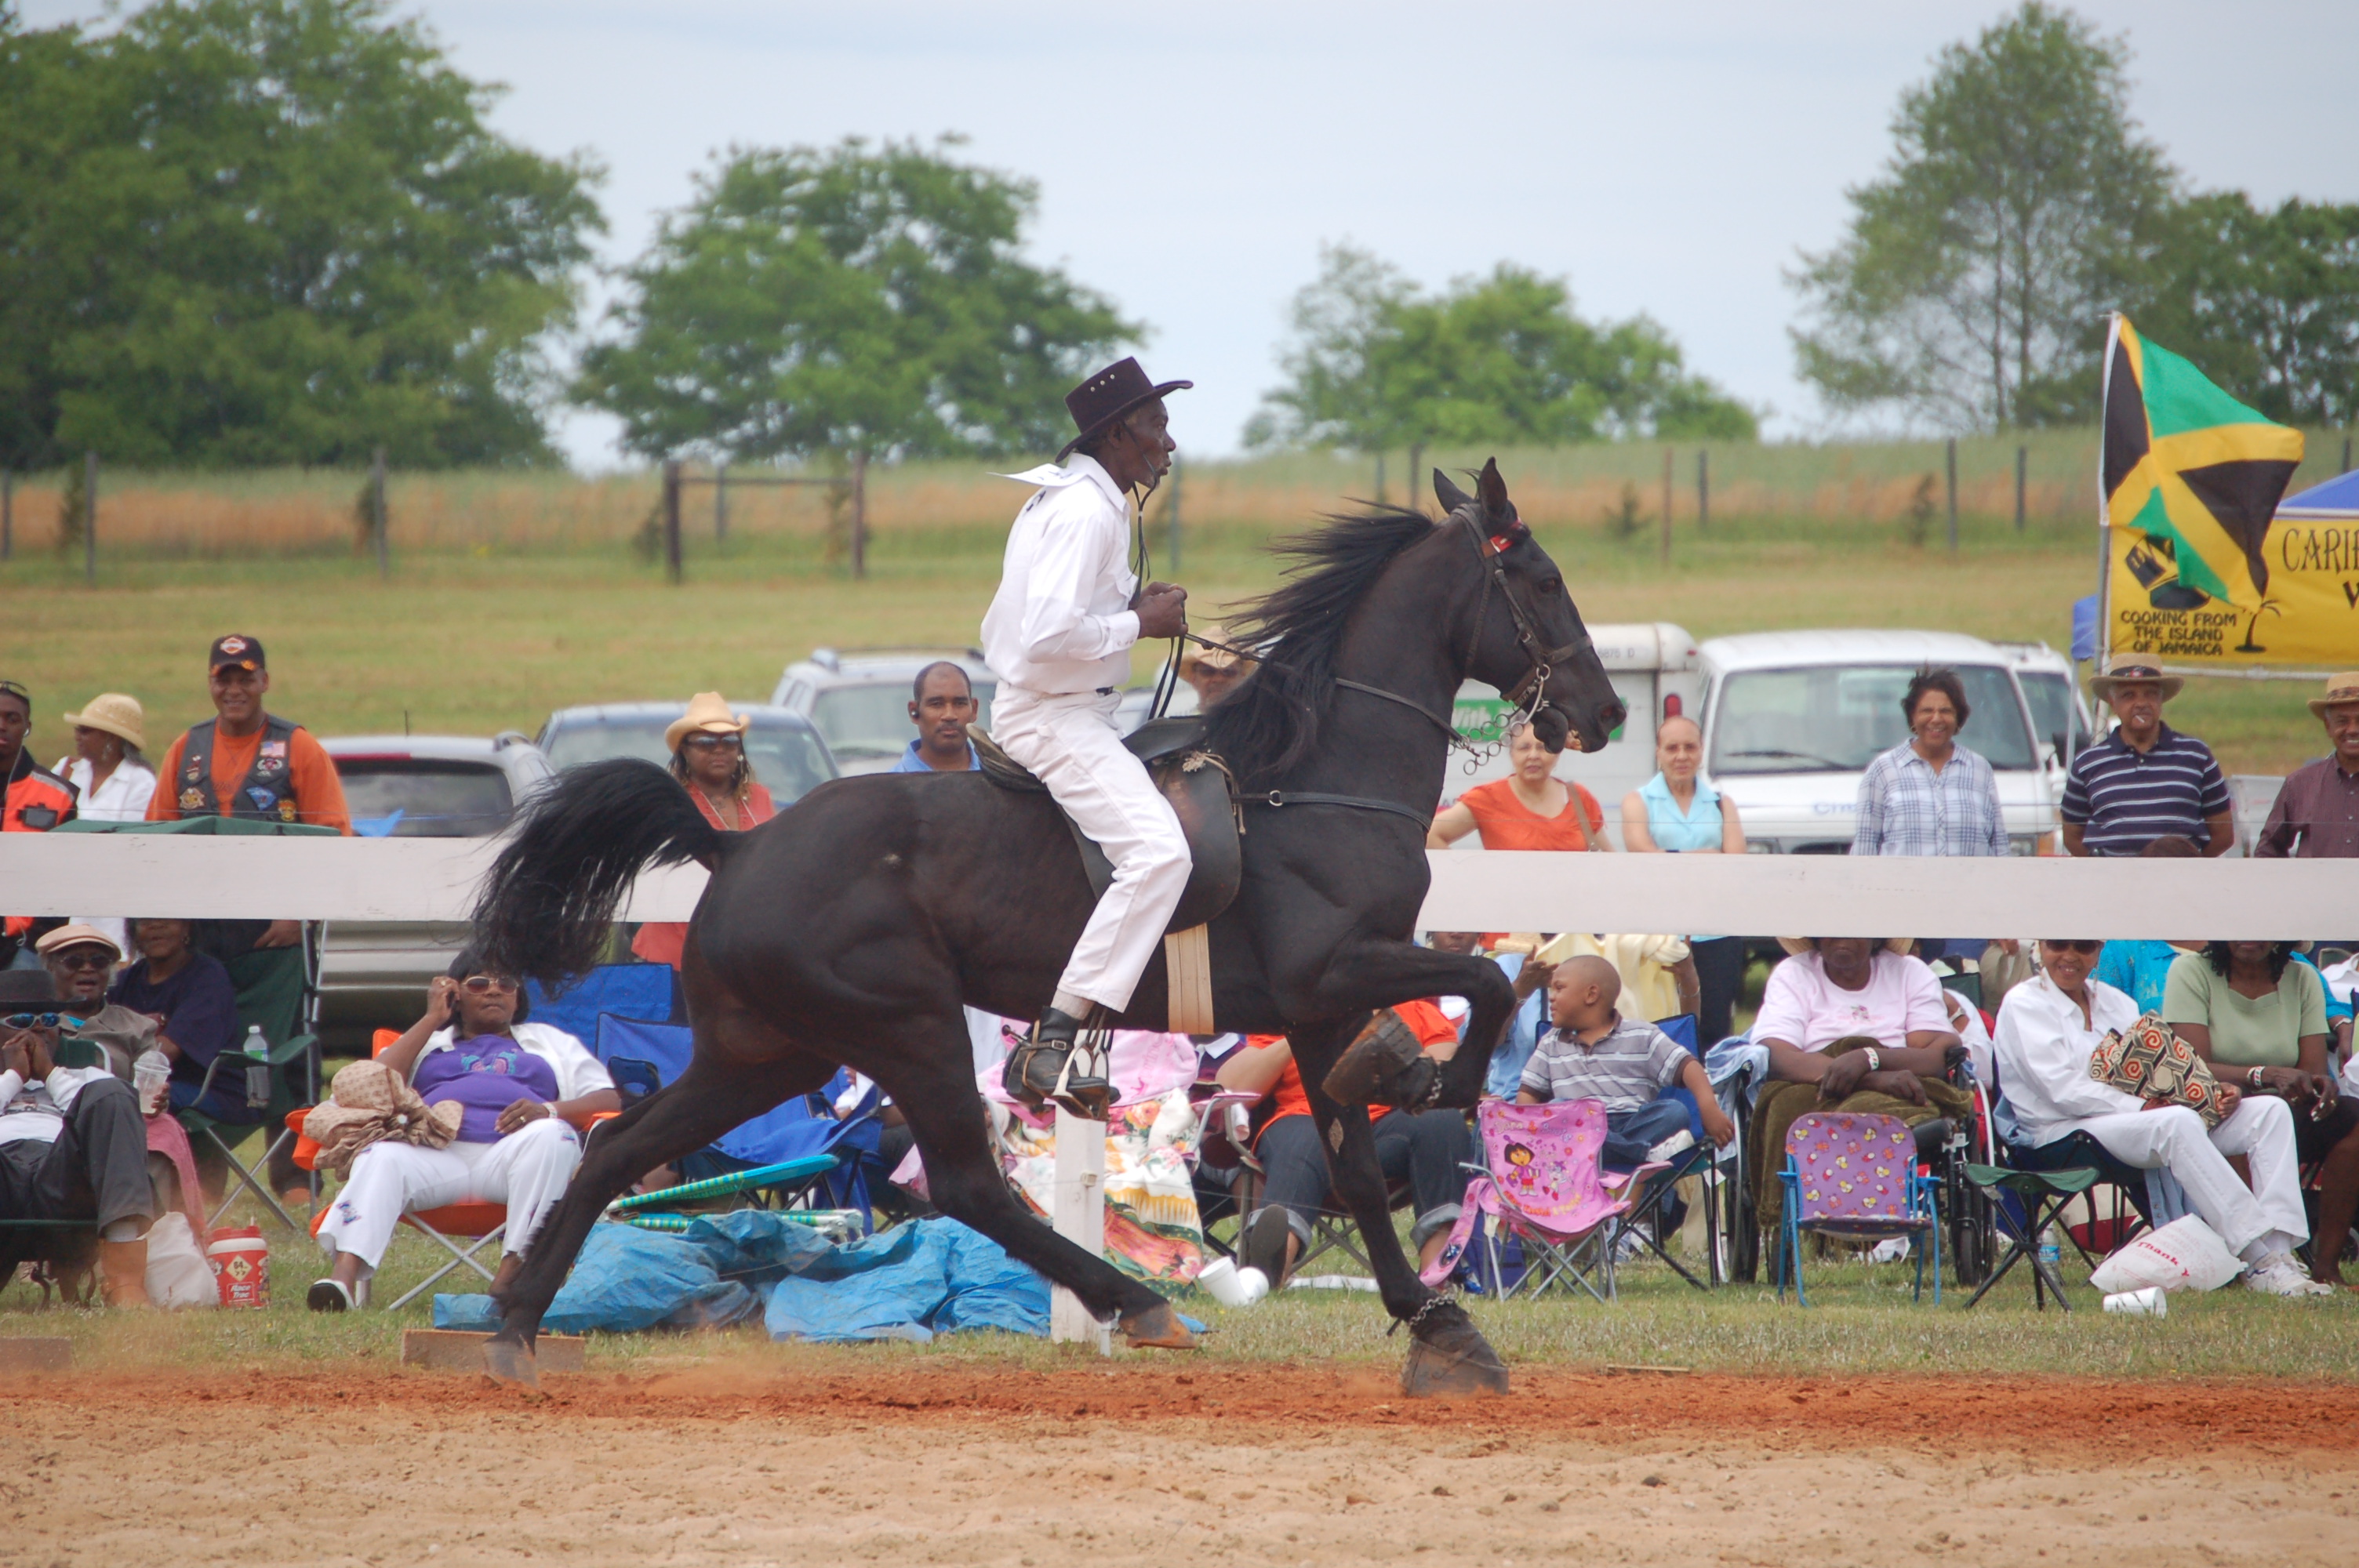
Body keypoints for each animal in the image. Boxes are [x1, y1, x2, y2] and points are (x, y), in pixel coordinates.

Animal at [474, 459, 1623, 1386]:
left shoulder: (1311, 1011)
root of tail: (741, 848)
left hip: (768, 1051)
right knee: (967, 1181)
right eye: (1544, 579)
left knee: (617, 1144)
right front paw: (1436, 1083)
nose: (1606, 711)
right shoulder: (1330, 975)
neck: (1317, 778)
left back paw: (515, 1324)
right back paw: (1138, 1301)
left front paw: (1436, 1322)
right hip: (907, 1024)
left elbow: (1351, 1161)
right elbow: (1482, 986)